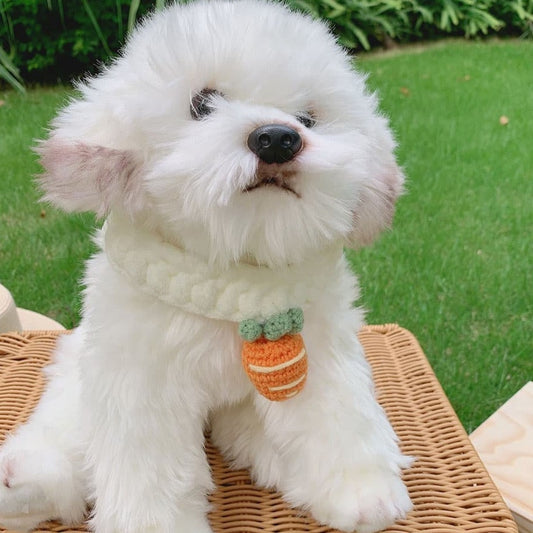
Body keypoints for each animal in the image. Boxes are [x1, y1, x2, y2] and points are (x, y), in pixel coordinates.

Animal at [0, 1, 412, 532]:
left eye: (308, 118)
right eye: (203, 103)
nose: (277, 138)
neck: (233, 273)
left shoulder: (321, 355)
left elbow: (338, 416)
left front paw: (363, 492)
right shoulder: (143, 386)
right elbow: (150, 471)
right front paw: (155, 524)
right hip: (81, 375)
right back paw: (28, 481)